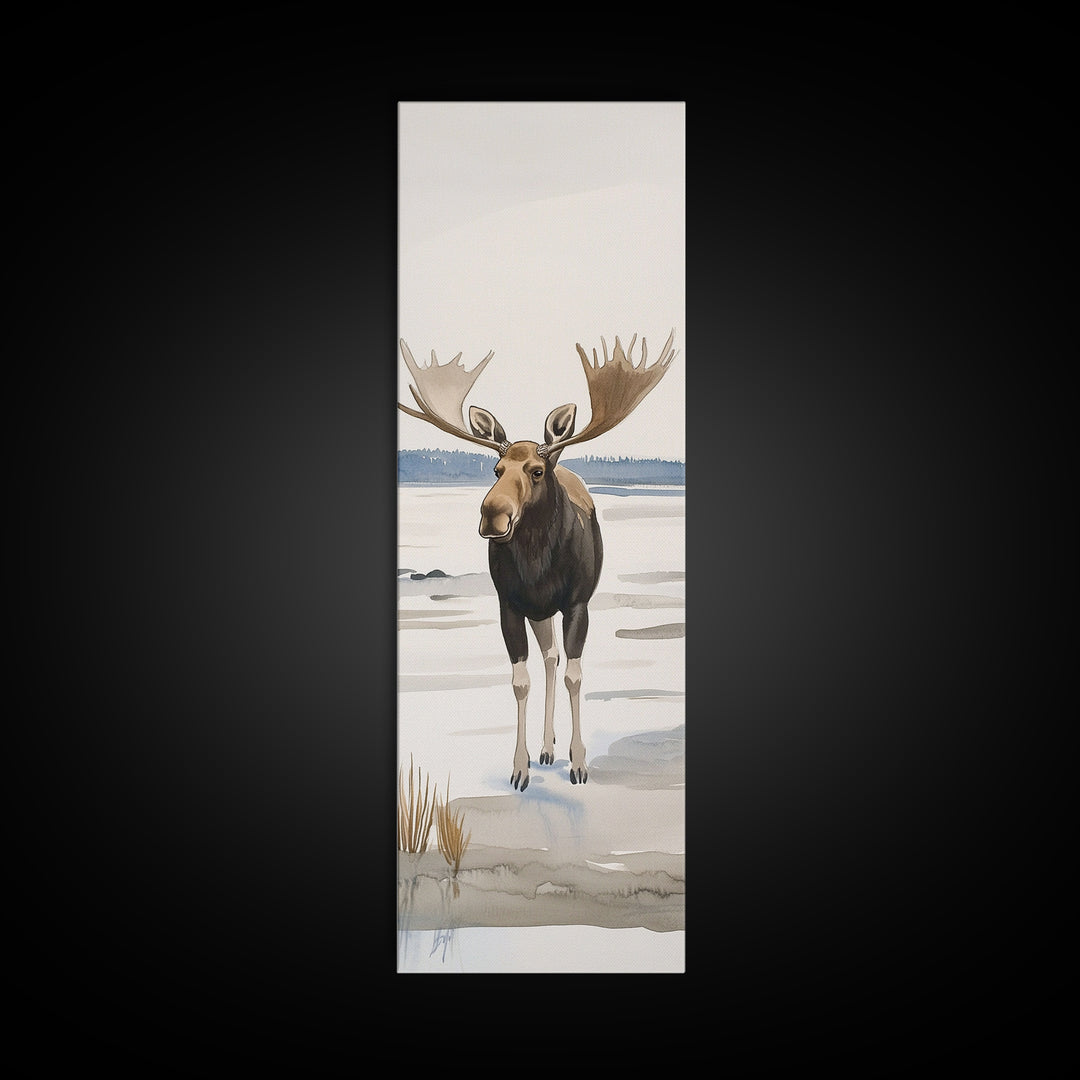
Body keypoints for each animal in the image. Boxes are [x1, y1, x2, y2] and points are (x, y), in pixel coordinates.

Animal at [398, 329, 677, 792]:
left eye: (536, 470)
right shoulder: (510, 605)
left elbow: (574, 675)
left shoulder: (578, 604)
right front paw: (520, 766)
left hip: (555, 608)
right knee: (548, 657)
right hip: (539, 612)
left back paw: (556, 748)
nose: (492, 514)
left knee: (556, 660)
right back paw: (545, 747)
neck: (537, 564)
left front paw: (579, 762)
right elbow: (520, 682)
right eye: (495, 469)